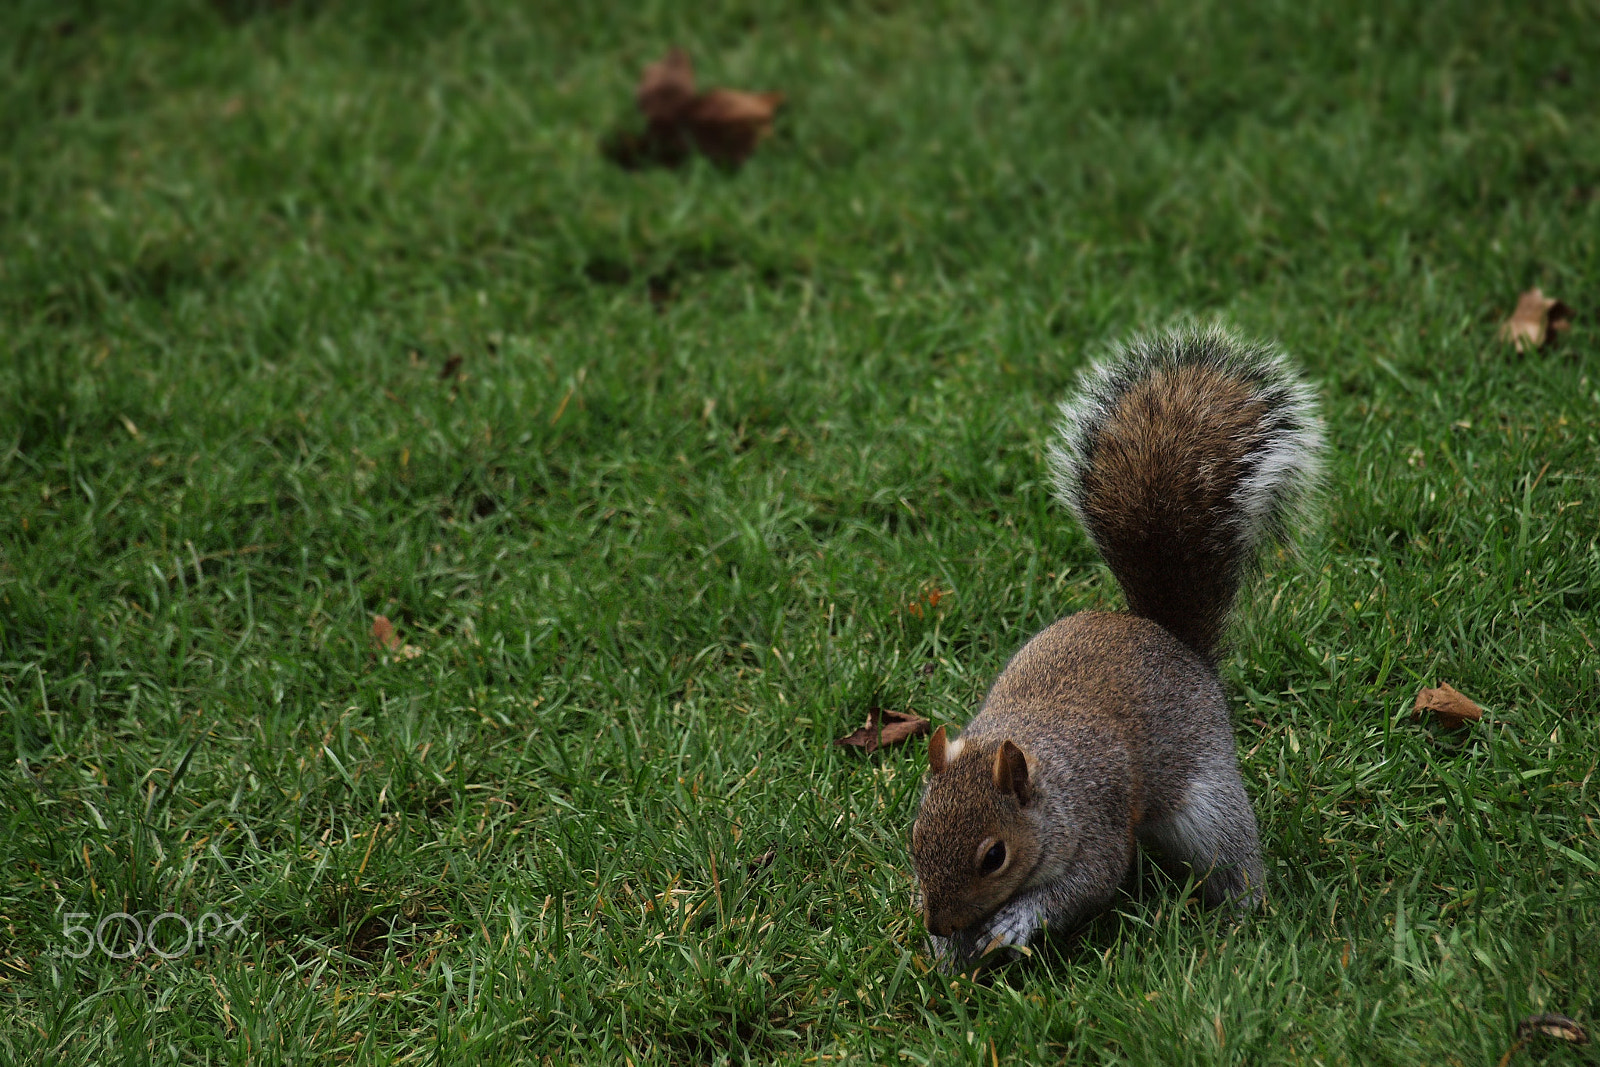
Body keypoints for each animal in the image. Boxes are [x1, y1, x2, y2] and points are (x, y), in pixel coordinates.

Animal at [910, 324, 1323, 971]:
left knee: (1231, 852)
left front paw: (1016, 922)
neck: (1044, 781)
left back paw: (1243, 910)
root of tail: (1165, 635)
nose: (936, 919)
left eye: (994, 857)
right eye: (915, 835)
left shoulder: (1097, 823)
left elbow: (1086, 885)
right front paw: (948, 953)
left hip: (1206, 801)